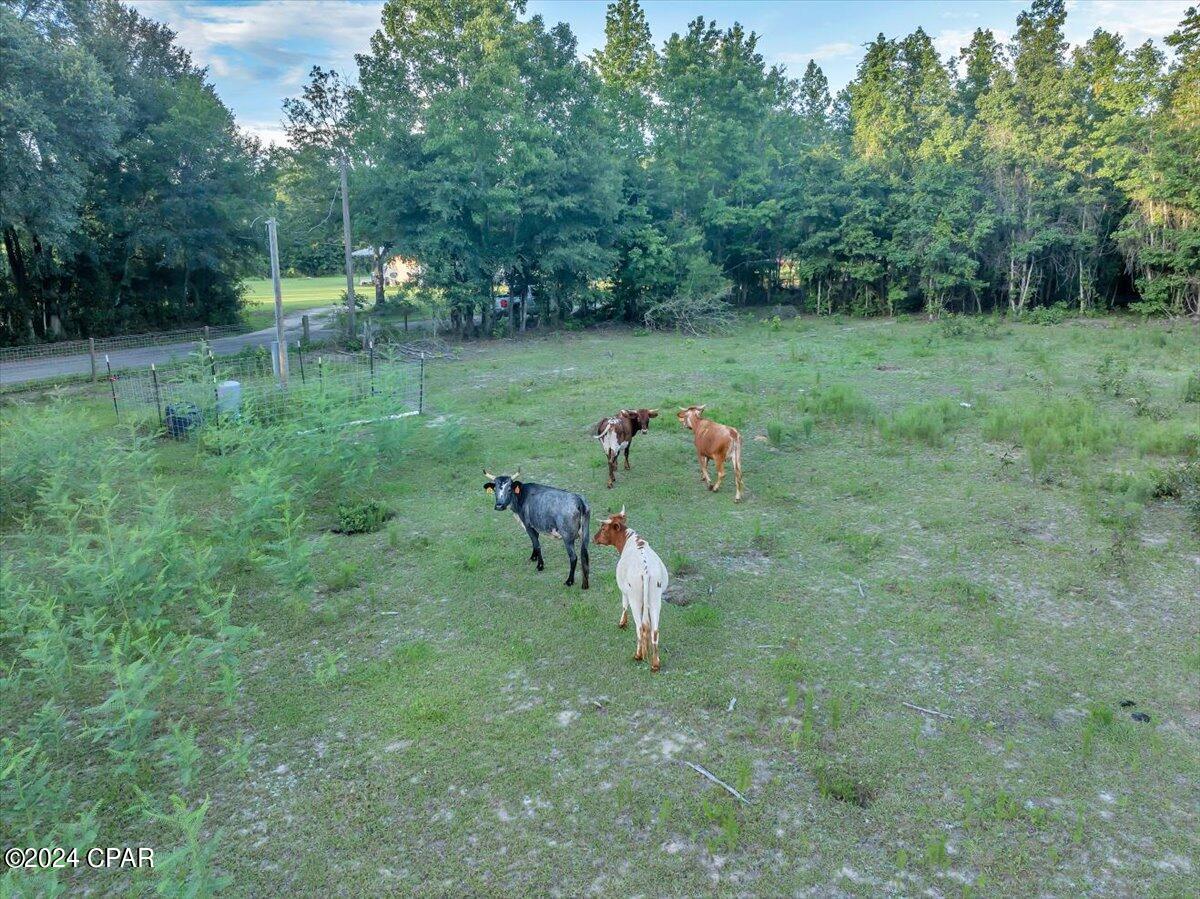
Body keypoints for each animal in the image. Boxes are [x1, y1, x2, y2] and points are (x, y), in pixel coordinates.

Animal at [595, 504, 672, 672]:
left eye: (603, 528)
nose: (594, 538)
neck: (629, 540)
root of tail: (646, 571)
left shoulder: (624, 590)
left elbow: (623, 606)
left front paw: (622, 623)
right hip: (655, 599)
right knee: (654, 630)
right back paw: (655, 663)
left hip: (635, 598)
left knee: (640, 627)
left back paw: (638, 655)